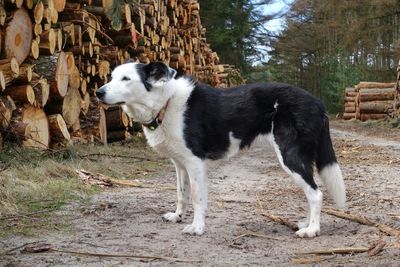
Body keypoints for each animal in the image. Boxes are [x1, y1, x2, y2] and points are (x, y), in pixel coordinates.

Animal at [95, 61, 346, 239]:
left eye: (126, 78)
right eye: (112, 77)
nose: (98, 93)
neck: (166, 102)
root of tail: (318, 103)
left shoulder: (195, 163)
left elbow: (197, 197)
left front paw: (197, 227)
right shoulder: (180, 164)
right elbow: (181, 194)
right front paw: (177, 216)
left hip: (290, 156)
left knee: (316, 193)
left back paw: (312, 230)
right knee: (311, 191)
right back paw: (306, 223)